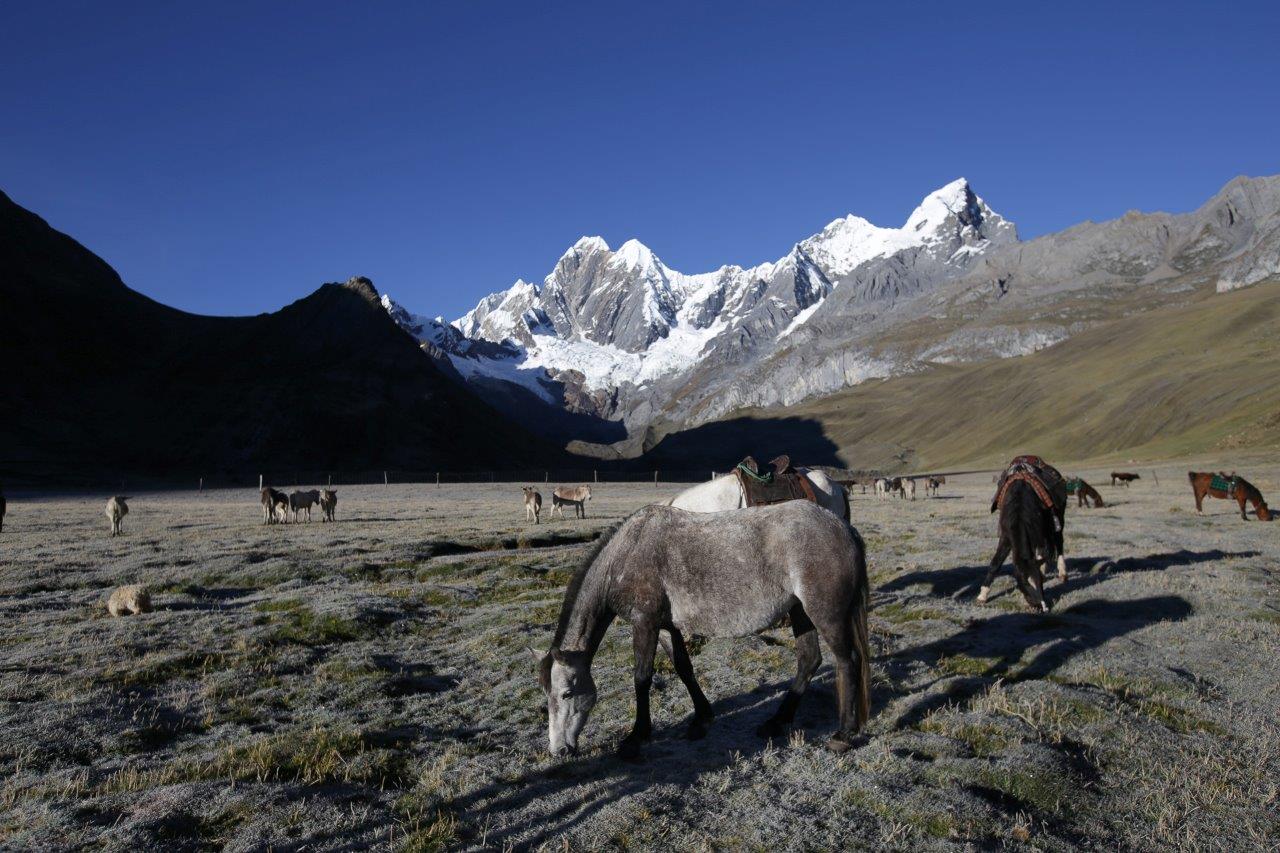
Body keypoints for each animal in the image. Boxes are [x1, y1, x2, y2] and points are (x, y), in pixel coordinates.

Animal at [529, 502, 870, 753]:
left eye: (566, 694)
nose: (558, 750)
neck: (625, 555)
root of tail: (844, 527)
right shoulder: (666, 626)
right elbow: (684, 668)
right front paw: (701, 720)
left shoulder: (645, 622)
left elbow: (642, 678)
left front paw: (637, 737)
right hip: (800, 612)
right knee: (809, 660)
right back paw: (776, 722)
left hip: (825, 614)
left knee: (847, 661)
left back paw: (843, 734)